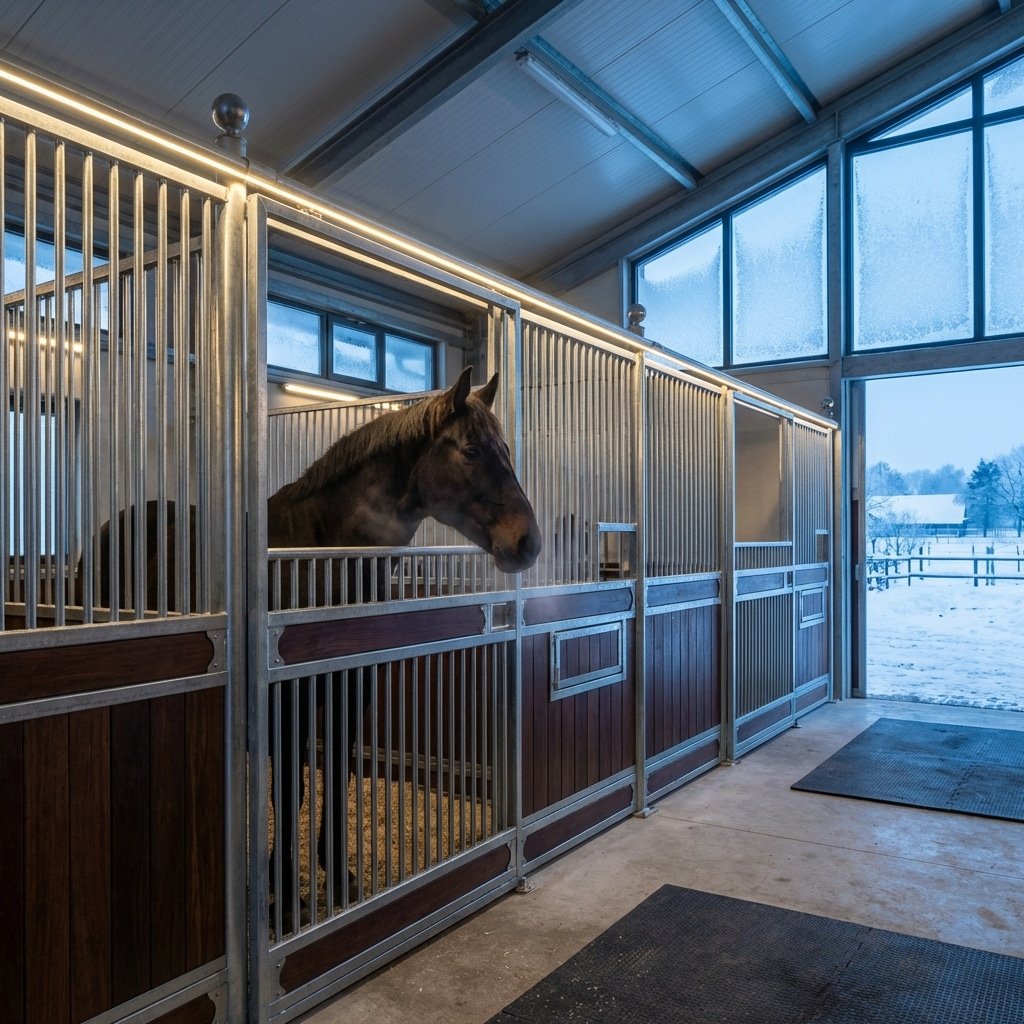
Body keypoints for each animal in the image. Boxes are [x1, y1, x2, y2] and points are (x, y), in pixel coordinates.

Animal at [266, 365, 540, 930]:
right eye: (472, 451)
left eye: (505, 448)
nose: (529, 543)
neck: (323, 552)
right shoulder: (284, 693)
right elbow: (289, 788)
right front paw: (284, 903)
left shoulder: (352, 684)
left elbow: (338, 771)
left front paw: (339, 876)